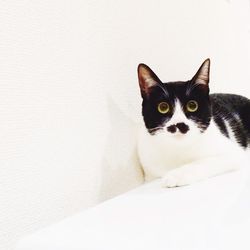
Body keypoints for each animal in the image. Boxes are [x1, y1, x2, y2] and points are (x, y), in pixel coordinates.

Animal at [137, 58, 250, 188]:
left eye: (192, 105)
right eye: (163, 107)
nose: (179, 124)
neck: (178, 148)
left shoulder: (234, 154)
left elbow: (205, 161)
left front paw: (176, 175)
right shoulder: (149, 173)